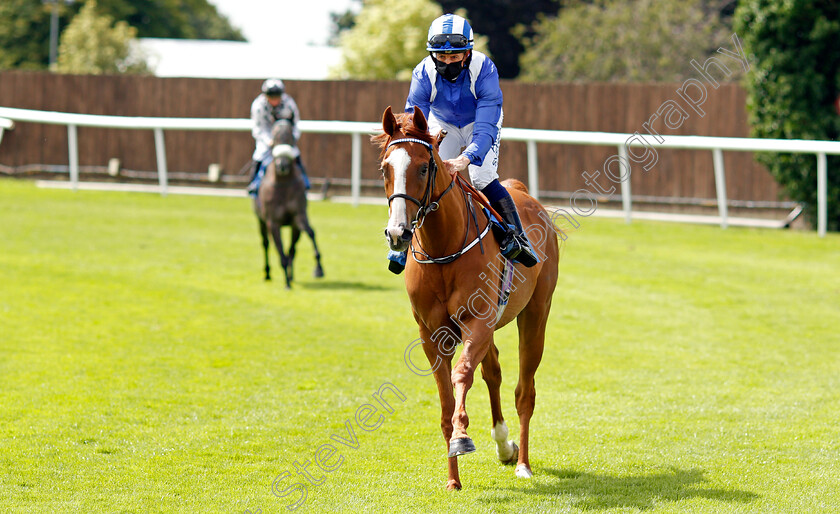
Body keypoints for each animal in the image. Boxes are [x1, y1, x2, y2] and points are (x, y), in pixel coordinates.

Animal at [374, 107, 556, 488]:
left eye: (423, 167)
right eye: (385, 168)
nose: (398, 233)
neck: (444, 248)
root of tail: (522, 192)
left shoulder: (477, 322)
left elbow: (461, 374)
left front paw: (461, 437)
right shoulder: (432, 333)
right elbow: (446, 398)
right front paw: (452, 479)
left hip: (535, 313)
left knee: (525, 391)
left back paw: (523, 462)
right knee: (494, 371)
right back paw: (504, 444)